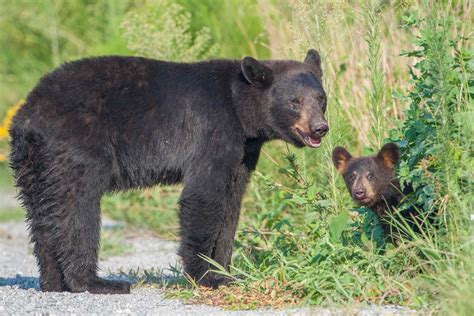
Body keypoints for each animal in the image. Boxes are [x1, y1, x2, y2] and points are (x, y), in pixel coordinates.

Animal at [9, 49, 328, 294]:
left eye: (321, 98)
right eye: (295, 101)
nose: (320, 128)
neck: (240, 110)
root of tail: (27, 115)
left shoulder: (243, 153)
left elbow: (231, 206)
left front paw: (225, 273)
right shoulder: (212, 131)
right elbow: (203, 197)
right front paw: (205, 276)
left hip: (34, 164)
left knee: (43, 215)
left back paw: (53, 282)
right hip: (77, 148)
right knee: (78, 210)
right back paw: (95, 282)